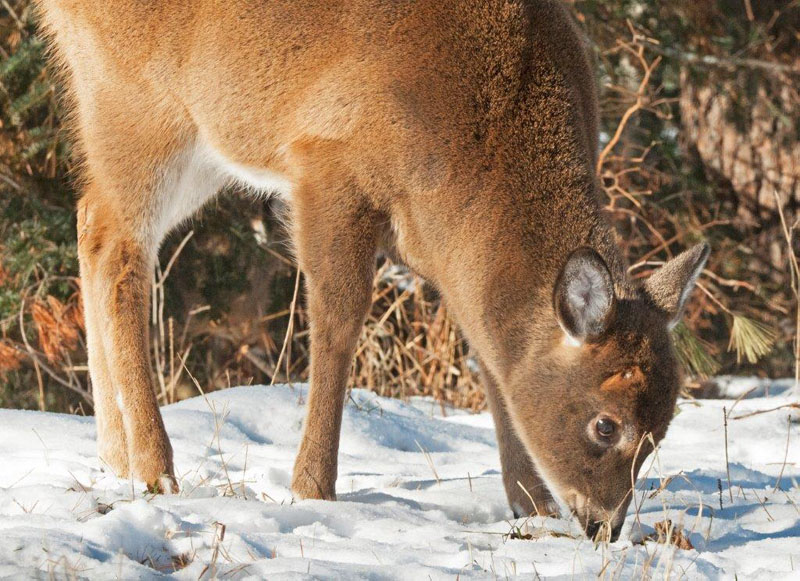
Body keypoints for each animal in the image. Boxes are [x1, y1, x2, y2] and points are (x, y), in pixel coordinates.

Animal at [35, 0, 709, 541]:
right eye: (605, 425)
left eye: (664, 428)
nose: (604, 525)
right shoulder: (329, 168)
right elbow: (337, 322)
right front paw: (312, 487)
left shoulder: (440, 249)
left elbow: (489, 355)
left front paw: (531, 505)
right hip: (135, 99)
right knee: (119, 249)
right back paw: (155, 468)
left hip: (197, 137)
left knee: (90, 221)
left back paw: (116, 456)